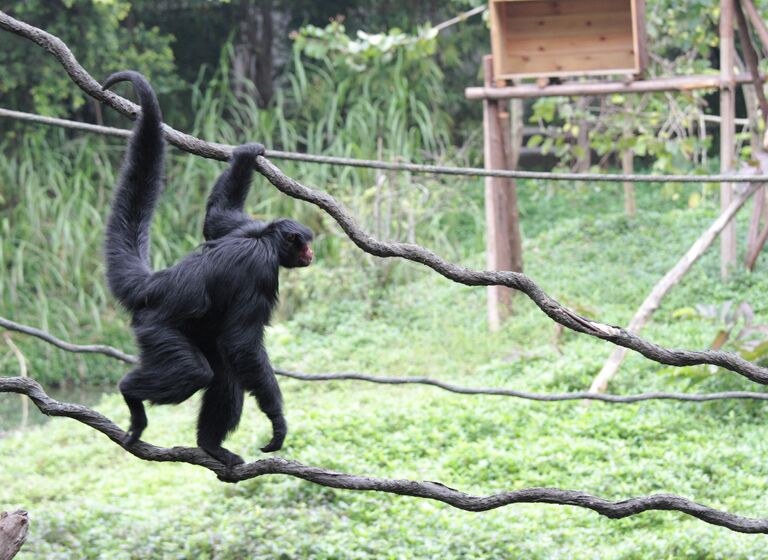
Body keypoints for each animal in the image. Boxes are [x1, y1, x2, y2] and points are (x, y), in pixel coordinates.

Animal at [103, 71, 314, 468]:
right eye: (305, 244)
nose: (311, 254)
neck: (263, 237)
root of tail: (154, 284)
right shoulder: (261, 273)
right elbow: (244, 346)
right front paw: (277, 421)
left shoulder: (243, 225)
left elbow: (216, 219)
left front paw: (247, 153)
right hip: (155, 327)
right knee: (196, 372)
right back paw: (130, 393)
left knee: (222, 376)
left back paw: (210, 446)